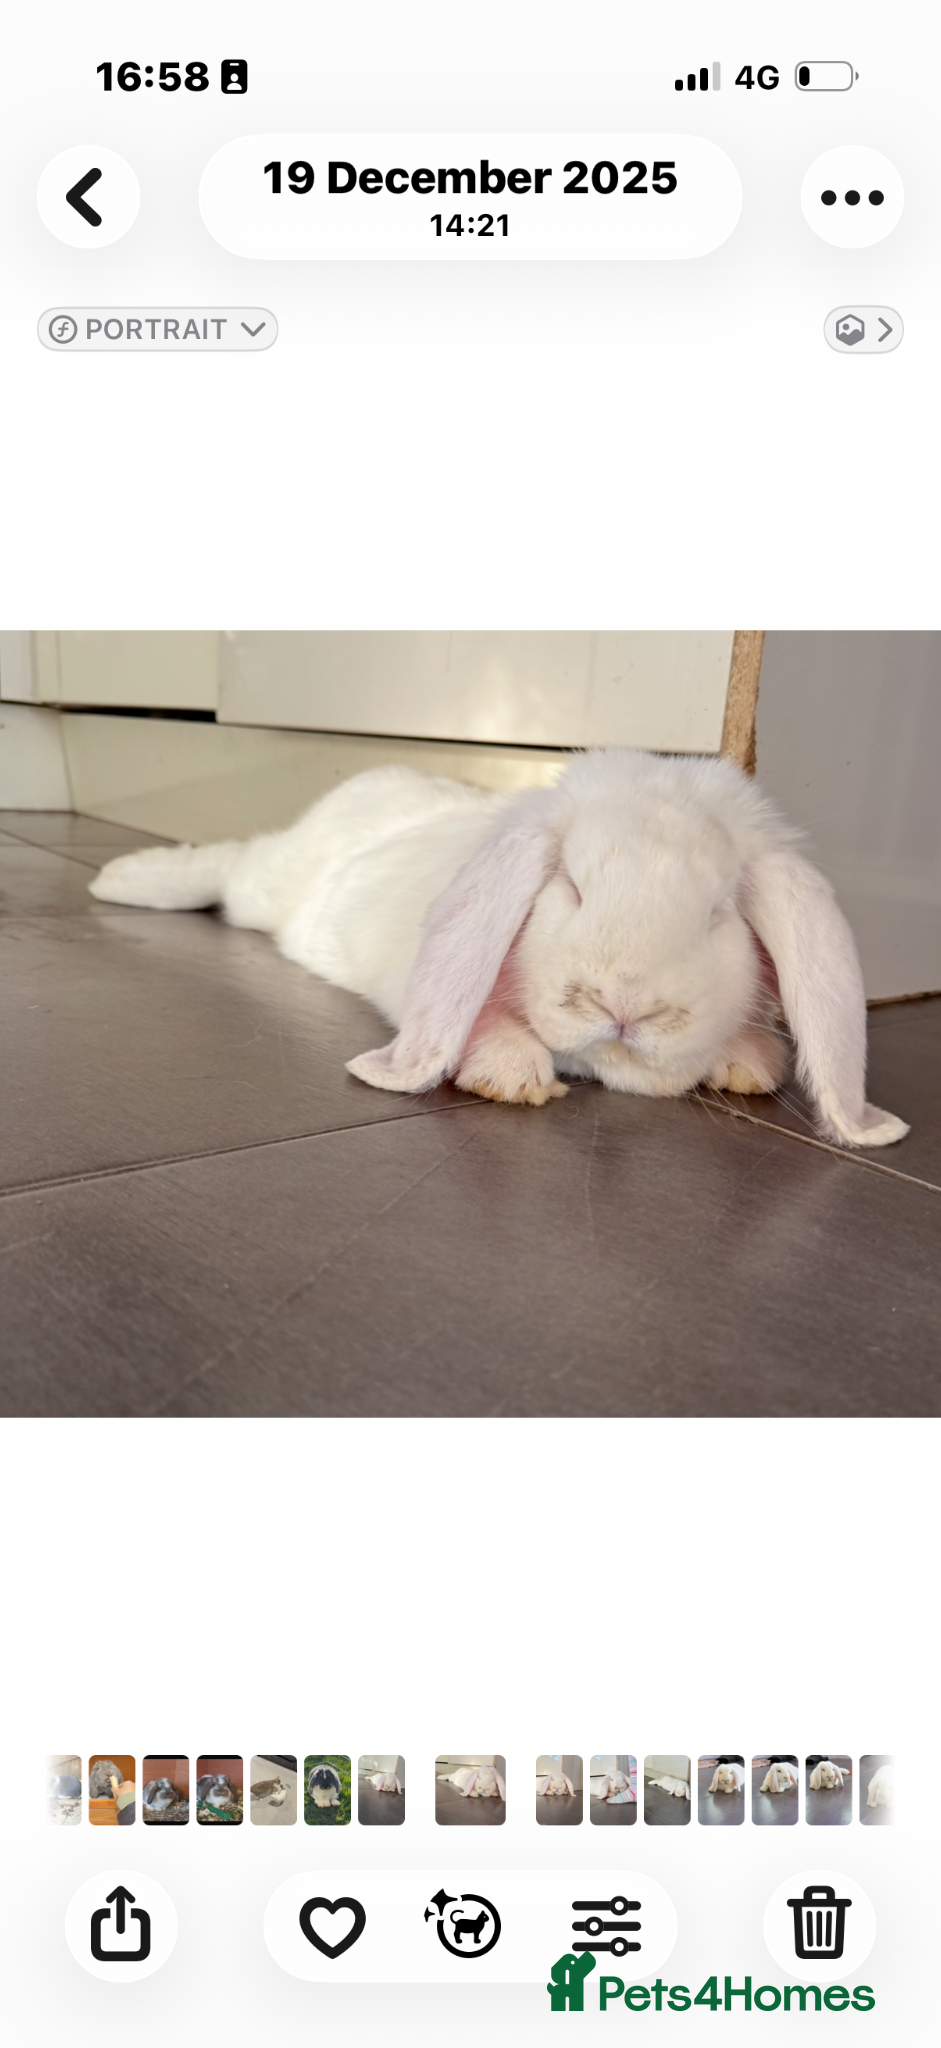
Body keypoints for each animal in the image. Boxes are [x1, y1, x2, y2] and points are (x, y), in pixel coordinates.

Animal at [89, 751, 909, 1148]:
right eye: (570, 886)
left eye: (717, 914)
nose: (625, 1004)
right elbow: (472, 1018)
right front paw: (512, 1076)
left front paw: (746, 1062)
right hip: (267, 885)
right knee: (230, 867)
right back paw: (119, 879)